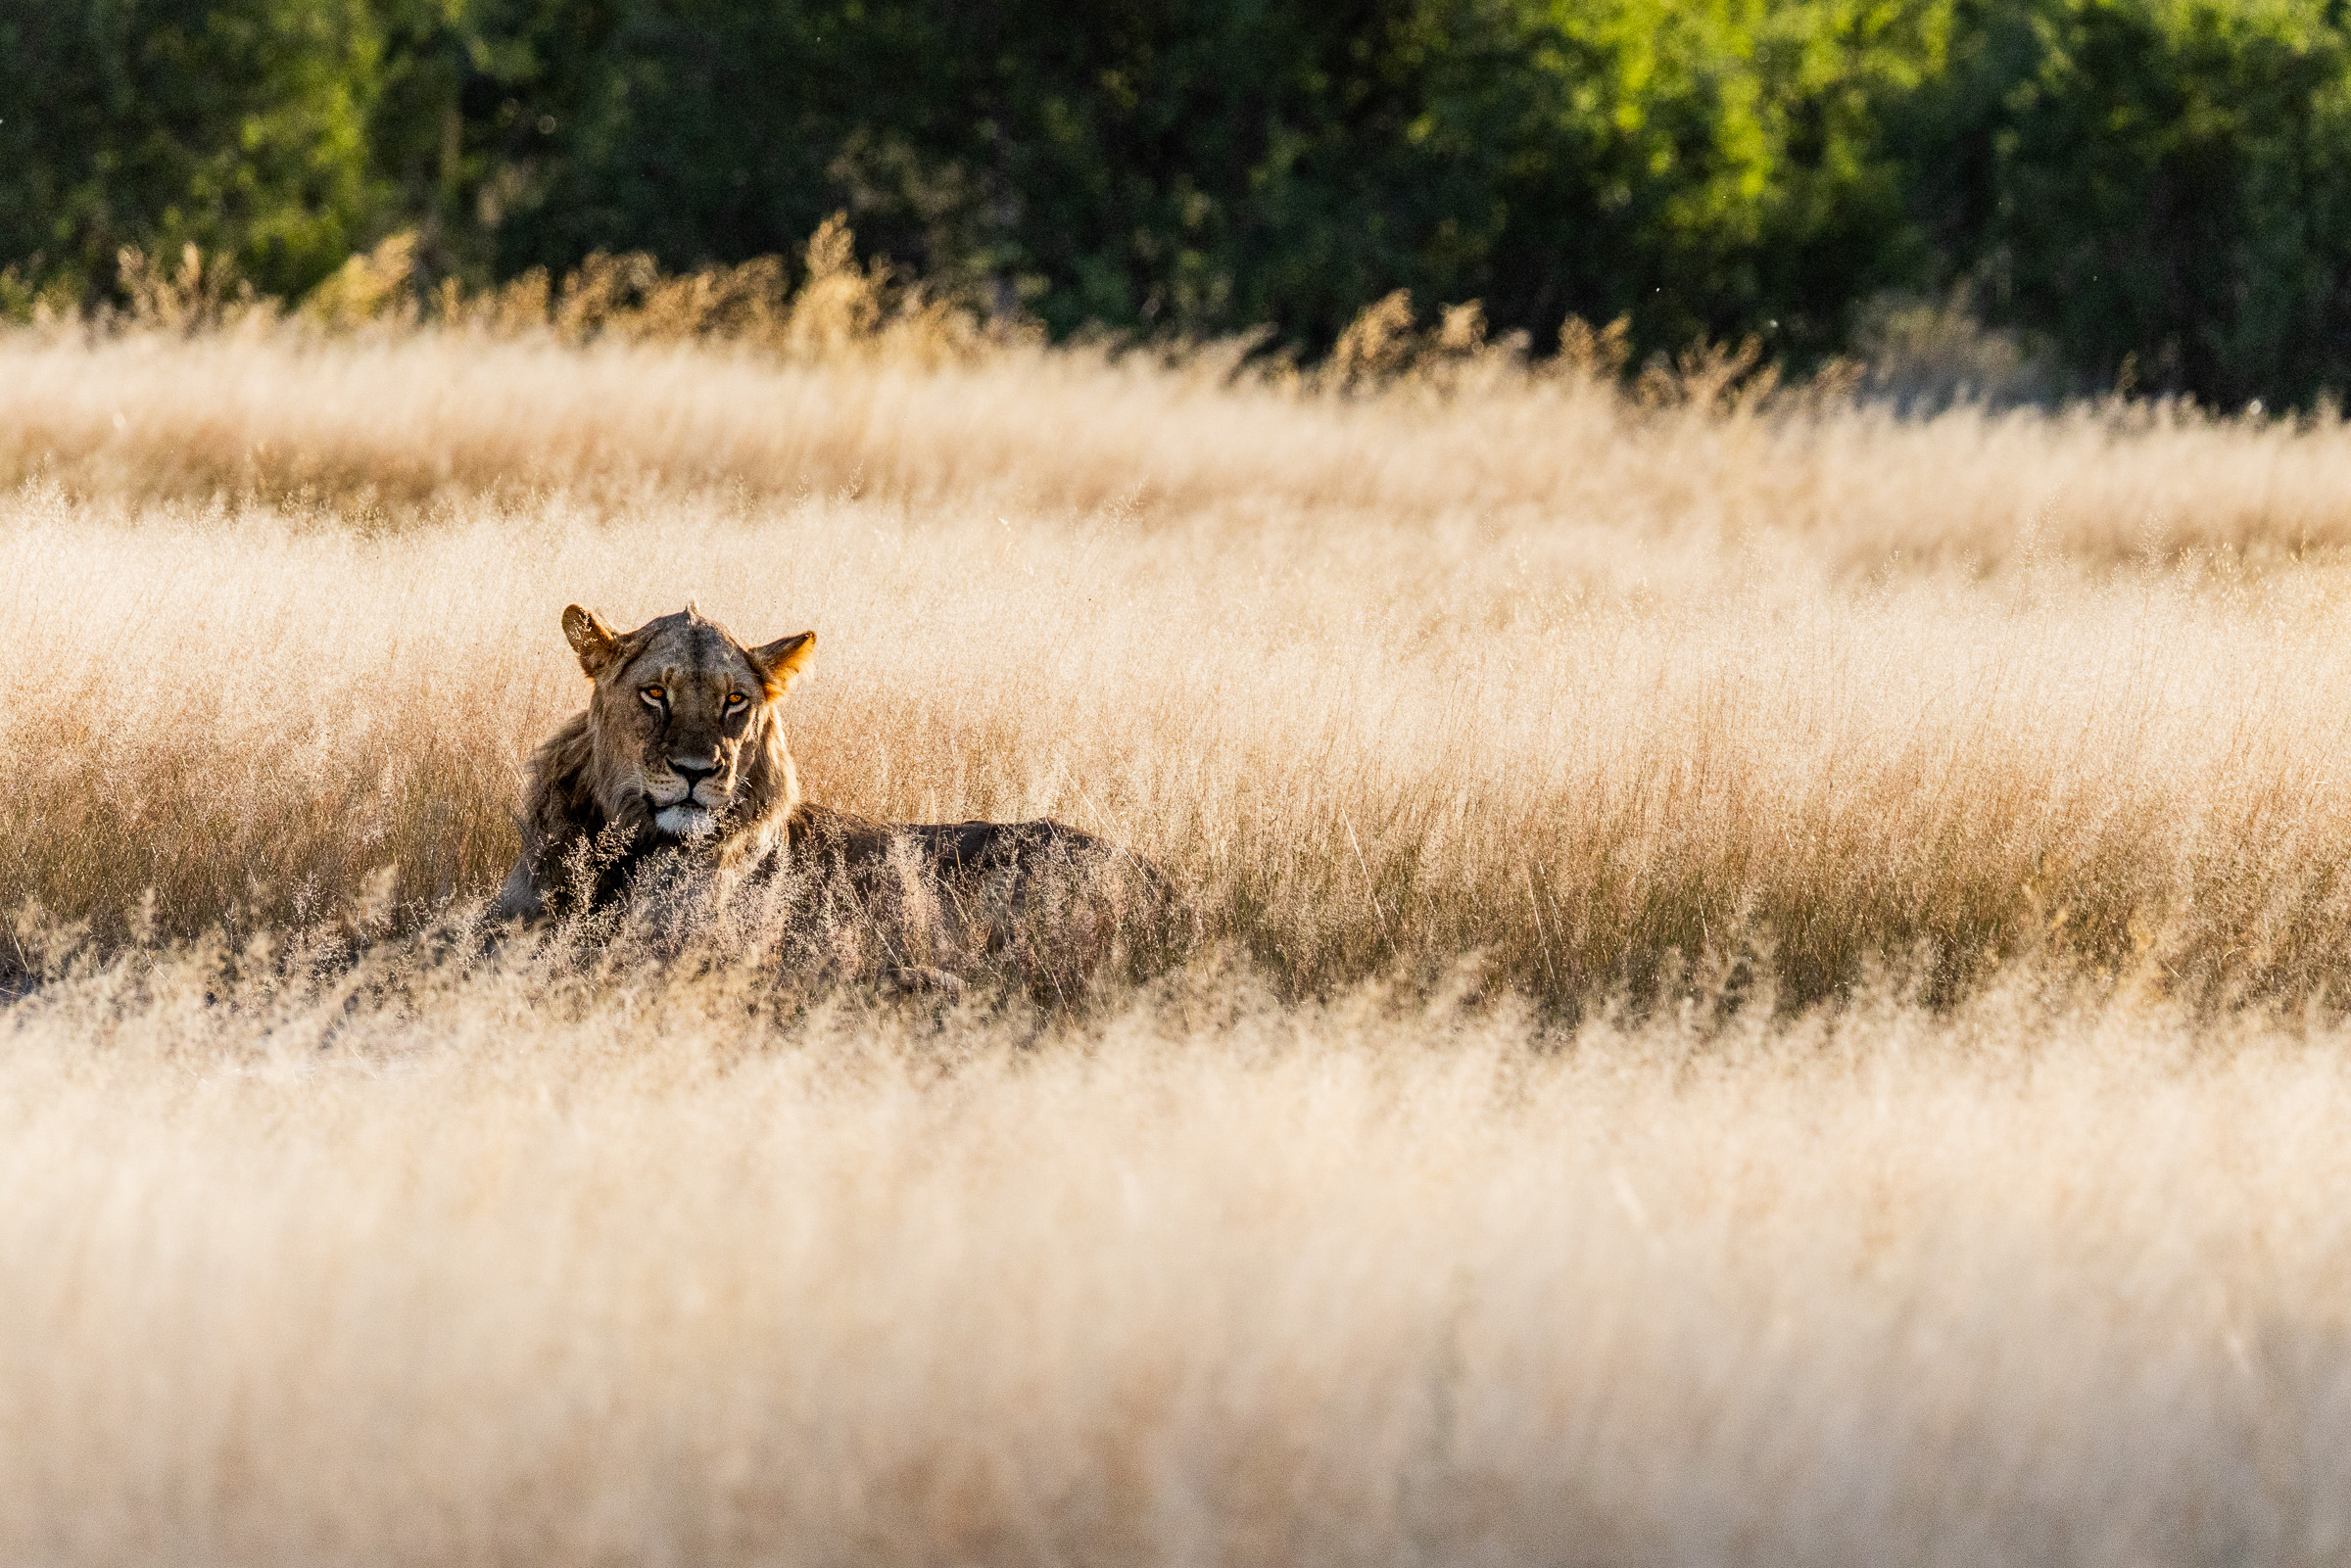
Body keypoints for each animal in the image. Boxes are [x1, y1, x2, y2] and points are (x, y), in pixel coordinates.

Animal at [493, 603, 1173, 993]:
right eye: (655, 693)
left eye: (734, 701)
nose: (696, 770)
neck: (627, 846)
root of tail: (1168, 883)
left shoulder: (697, 953)